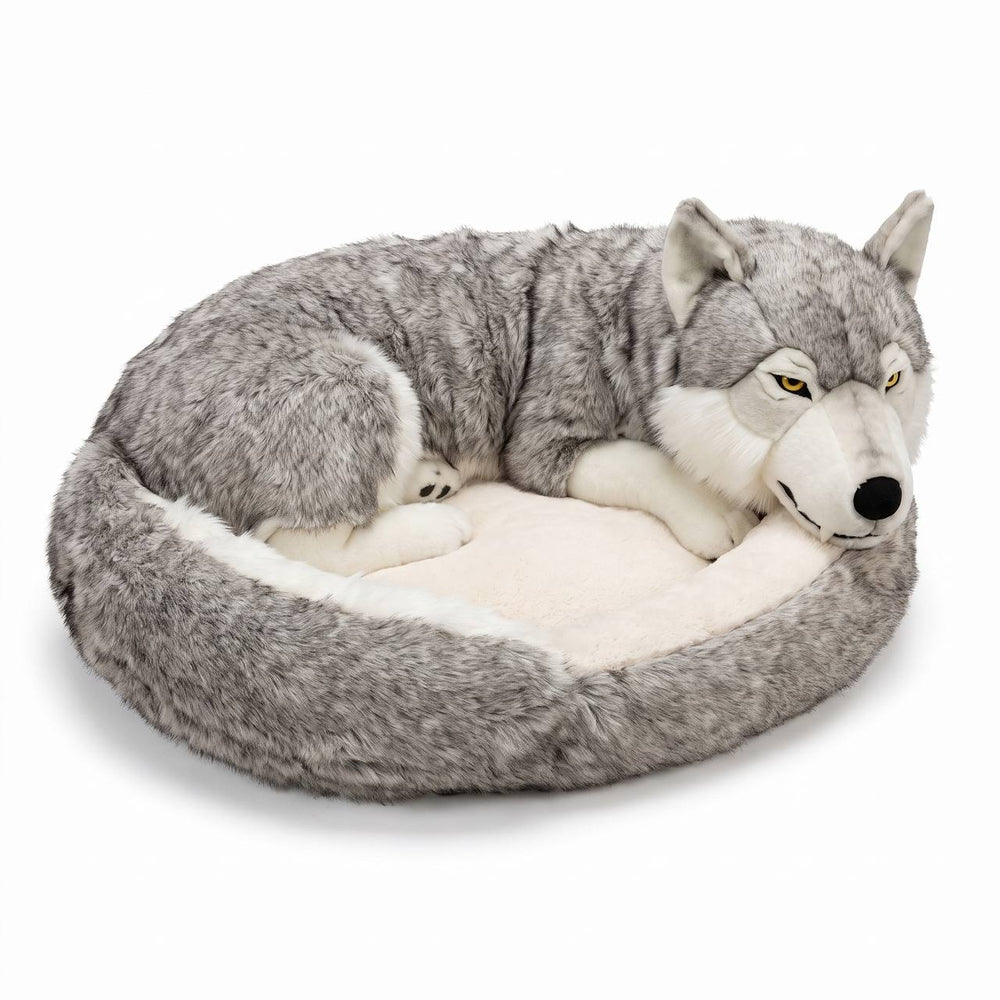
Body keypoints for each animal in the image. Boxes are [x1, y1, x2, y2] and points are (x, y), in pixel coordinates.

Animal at [94, 192, 933, 570]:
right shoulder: (544, 443)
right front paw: (713, 515)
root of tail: (117, 416)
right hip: (357, 384)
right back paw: (435, 523)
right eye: (791, 386)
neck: (636, 321)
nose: (882, 496)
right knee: (294, 544)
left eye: (893, 379)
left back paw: (425, 479)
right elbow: (641, 462)